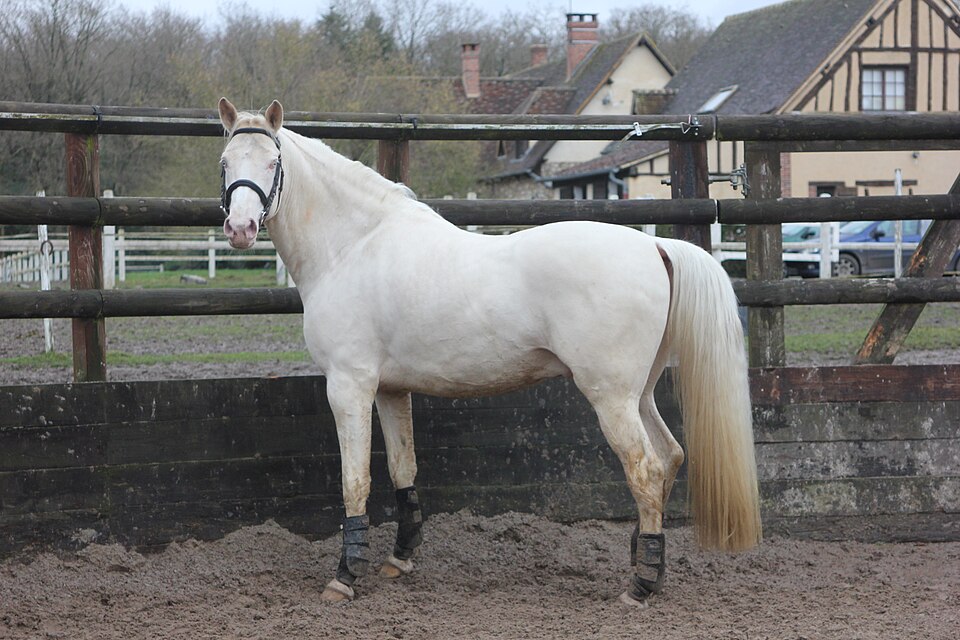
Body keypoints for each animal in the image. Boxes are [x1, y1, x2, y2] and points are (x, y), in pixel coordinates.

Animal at [216, 97, 762, 606]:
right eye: (225, 161)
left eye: (273, 161)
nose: (240, 229)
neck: (354, 246)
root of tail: (656, 247)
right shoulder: (389, 390)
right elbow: (403, 470)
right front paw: (399, 559)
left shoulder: (349, 386)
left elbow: (355, 481)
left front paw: (345, 577)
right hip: (640, 393)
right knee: (669, 457)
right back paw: (647, 561)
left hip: (611, 397)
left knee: (645, 469)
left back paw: (640, 585)